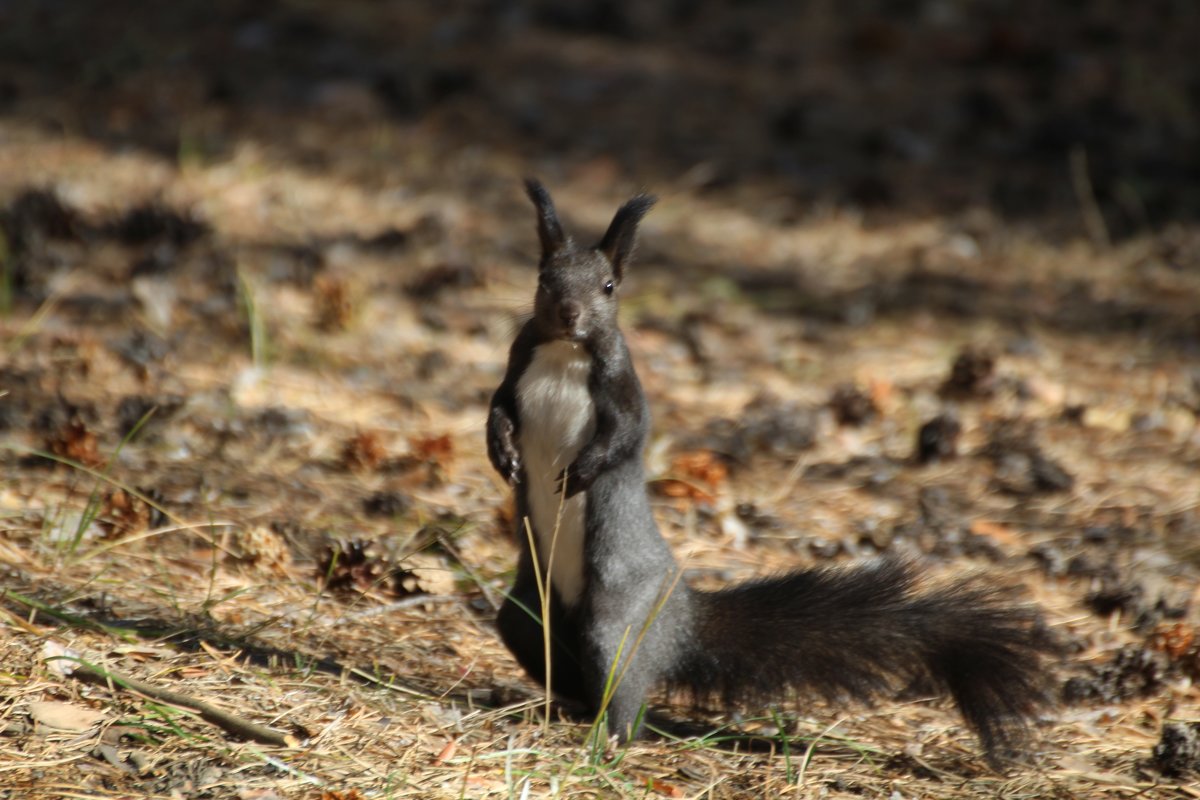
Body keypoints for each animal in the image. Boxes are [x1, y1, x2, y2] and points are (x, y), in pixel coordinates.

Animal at [484, 178, 1051, 762]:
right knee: (554, 657)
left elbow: (623, 438)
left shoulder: (623, 391)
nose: (569, 313)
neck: (563, 353)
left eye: (609, 286)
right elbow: (499, 408)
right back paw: (562, 709)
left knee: (622, 693)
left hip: (616, 620)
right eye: (543, 278)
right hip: (530, 615)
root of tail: (681, 623)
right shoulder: (516, 367)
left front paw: (583, 470)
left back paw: (607, 736)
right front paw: (502, 453)